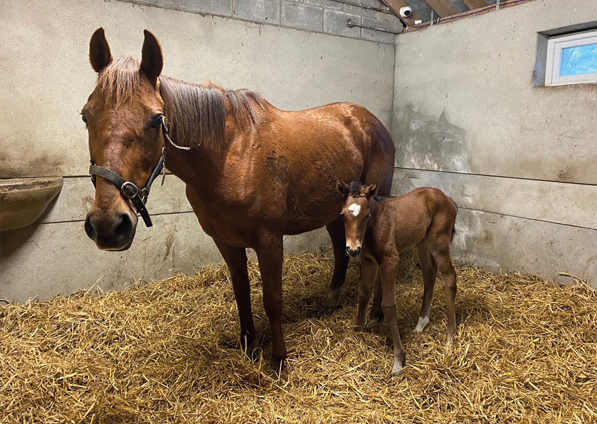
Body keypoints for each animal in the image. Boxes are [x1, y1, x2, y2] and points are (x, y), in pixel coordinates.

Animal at [340, 182, 456, 374]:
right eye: (342, 215)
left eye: (367, 215)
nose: (353, 249)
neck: (375, 226)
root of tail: (448, 199)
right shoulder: (368, 260)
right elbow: (364, 293)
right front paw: (358, 330)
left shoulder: (390, 261)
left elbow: (388, 305)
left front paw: (398, 360)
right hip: (422, 242)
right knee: (429, 272)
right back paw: (421, 322)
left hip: (438, 241)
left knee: (449, 279)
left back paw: (450, 337)